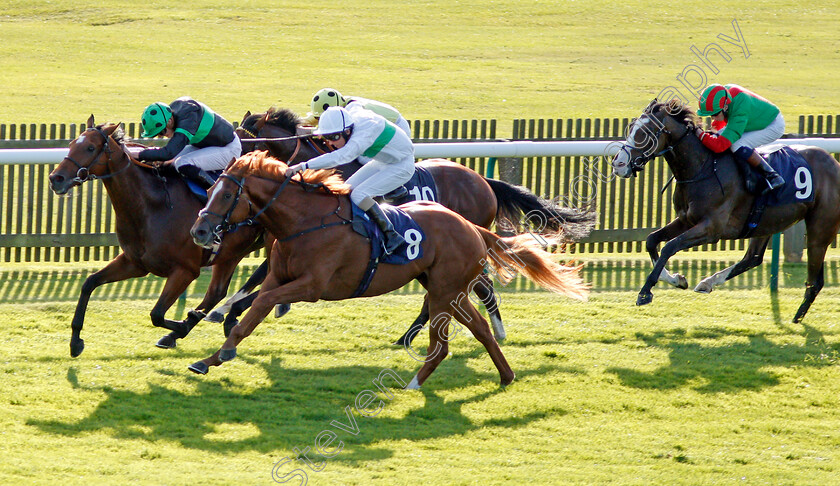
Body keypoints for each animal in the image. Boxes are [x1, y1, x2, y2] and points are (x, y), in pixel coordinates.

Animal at [47, 116, 264, 356]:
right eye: (72, 144)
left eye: (90, 148)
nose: (56, 178)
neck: (153, 207)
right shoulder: (134, 263)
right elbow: (89, 283)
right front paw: (75, 341)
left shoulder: (185, 270)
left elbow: (157, 314)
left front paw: (184, 323)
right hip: (232, 253)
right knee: (217, 292)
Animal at [189, 152, 592, 388]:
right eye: (211, 189)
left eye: (228, 194)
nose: (199, 231)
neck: (304, 222)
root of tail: (471, 226)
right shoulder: (279, 276)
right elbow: (253, 309)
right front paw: (210, 358)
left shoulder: (311, 286)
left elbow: (259, 303)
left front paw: (222, 344)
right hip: (445, 287)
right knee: (477, 326)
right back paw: (505, 375)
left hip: (444, 290)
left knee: (445, 340)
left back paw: (416, 378)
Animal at [220, 107, 592, 344]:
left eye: (245, 138)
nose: (226, 167)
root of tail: (483, 180)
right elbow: (259, 276)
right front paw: (230, 308)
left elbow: (261, 280)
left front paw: (233, 311)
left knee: (472, 287)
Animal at [612, 99, 840, 322]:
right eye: (631, 128)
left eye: (646, 133)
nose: (618, 164)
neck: (702, 168)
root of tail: (834, 163)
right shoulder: (686, 220)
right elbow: (652, 240)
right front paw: (676, 279)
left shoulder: (712, 229)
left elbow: (670, 246)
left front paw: (645, 291)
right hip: (768, 222)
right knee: (753, 258)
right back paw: (708, 283)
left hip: (820, 229)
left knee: (814, 280)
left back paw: (796, 319)